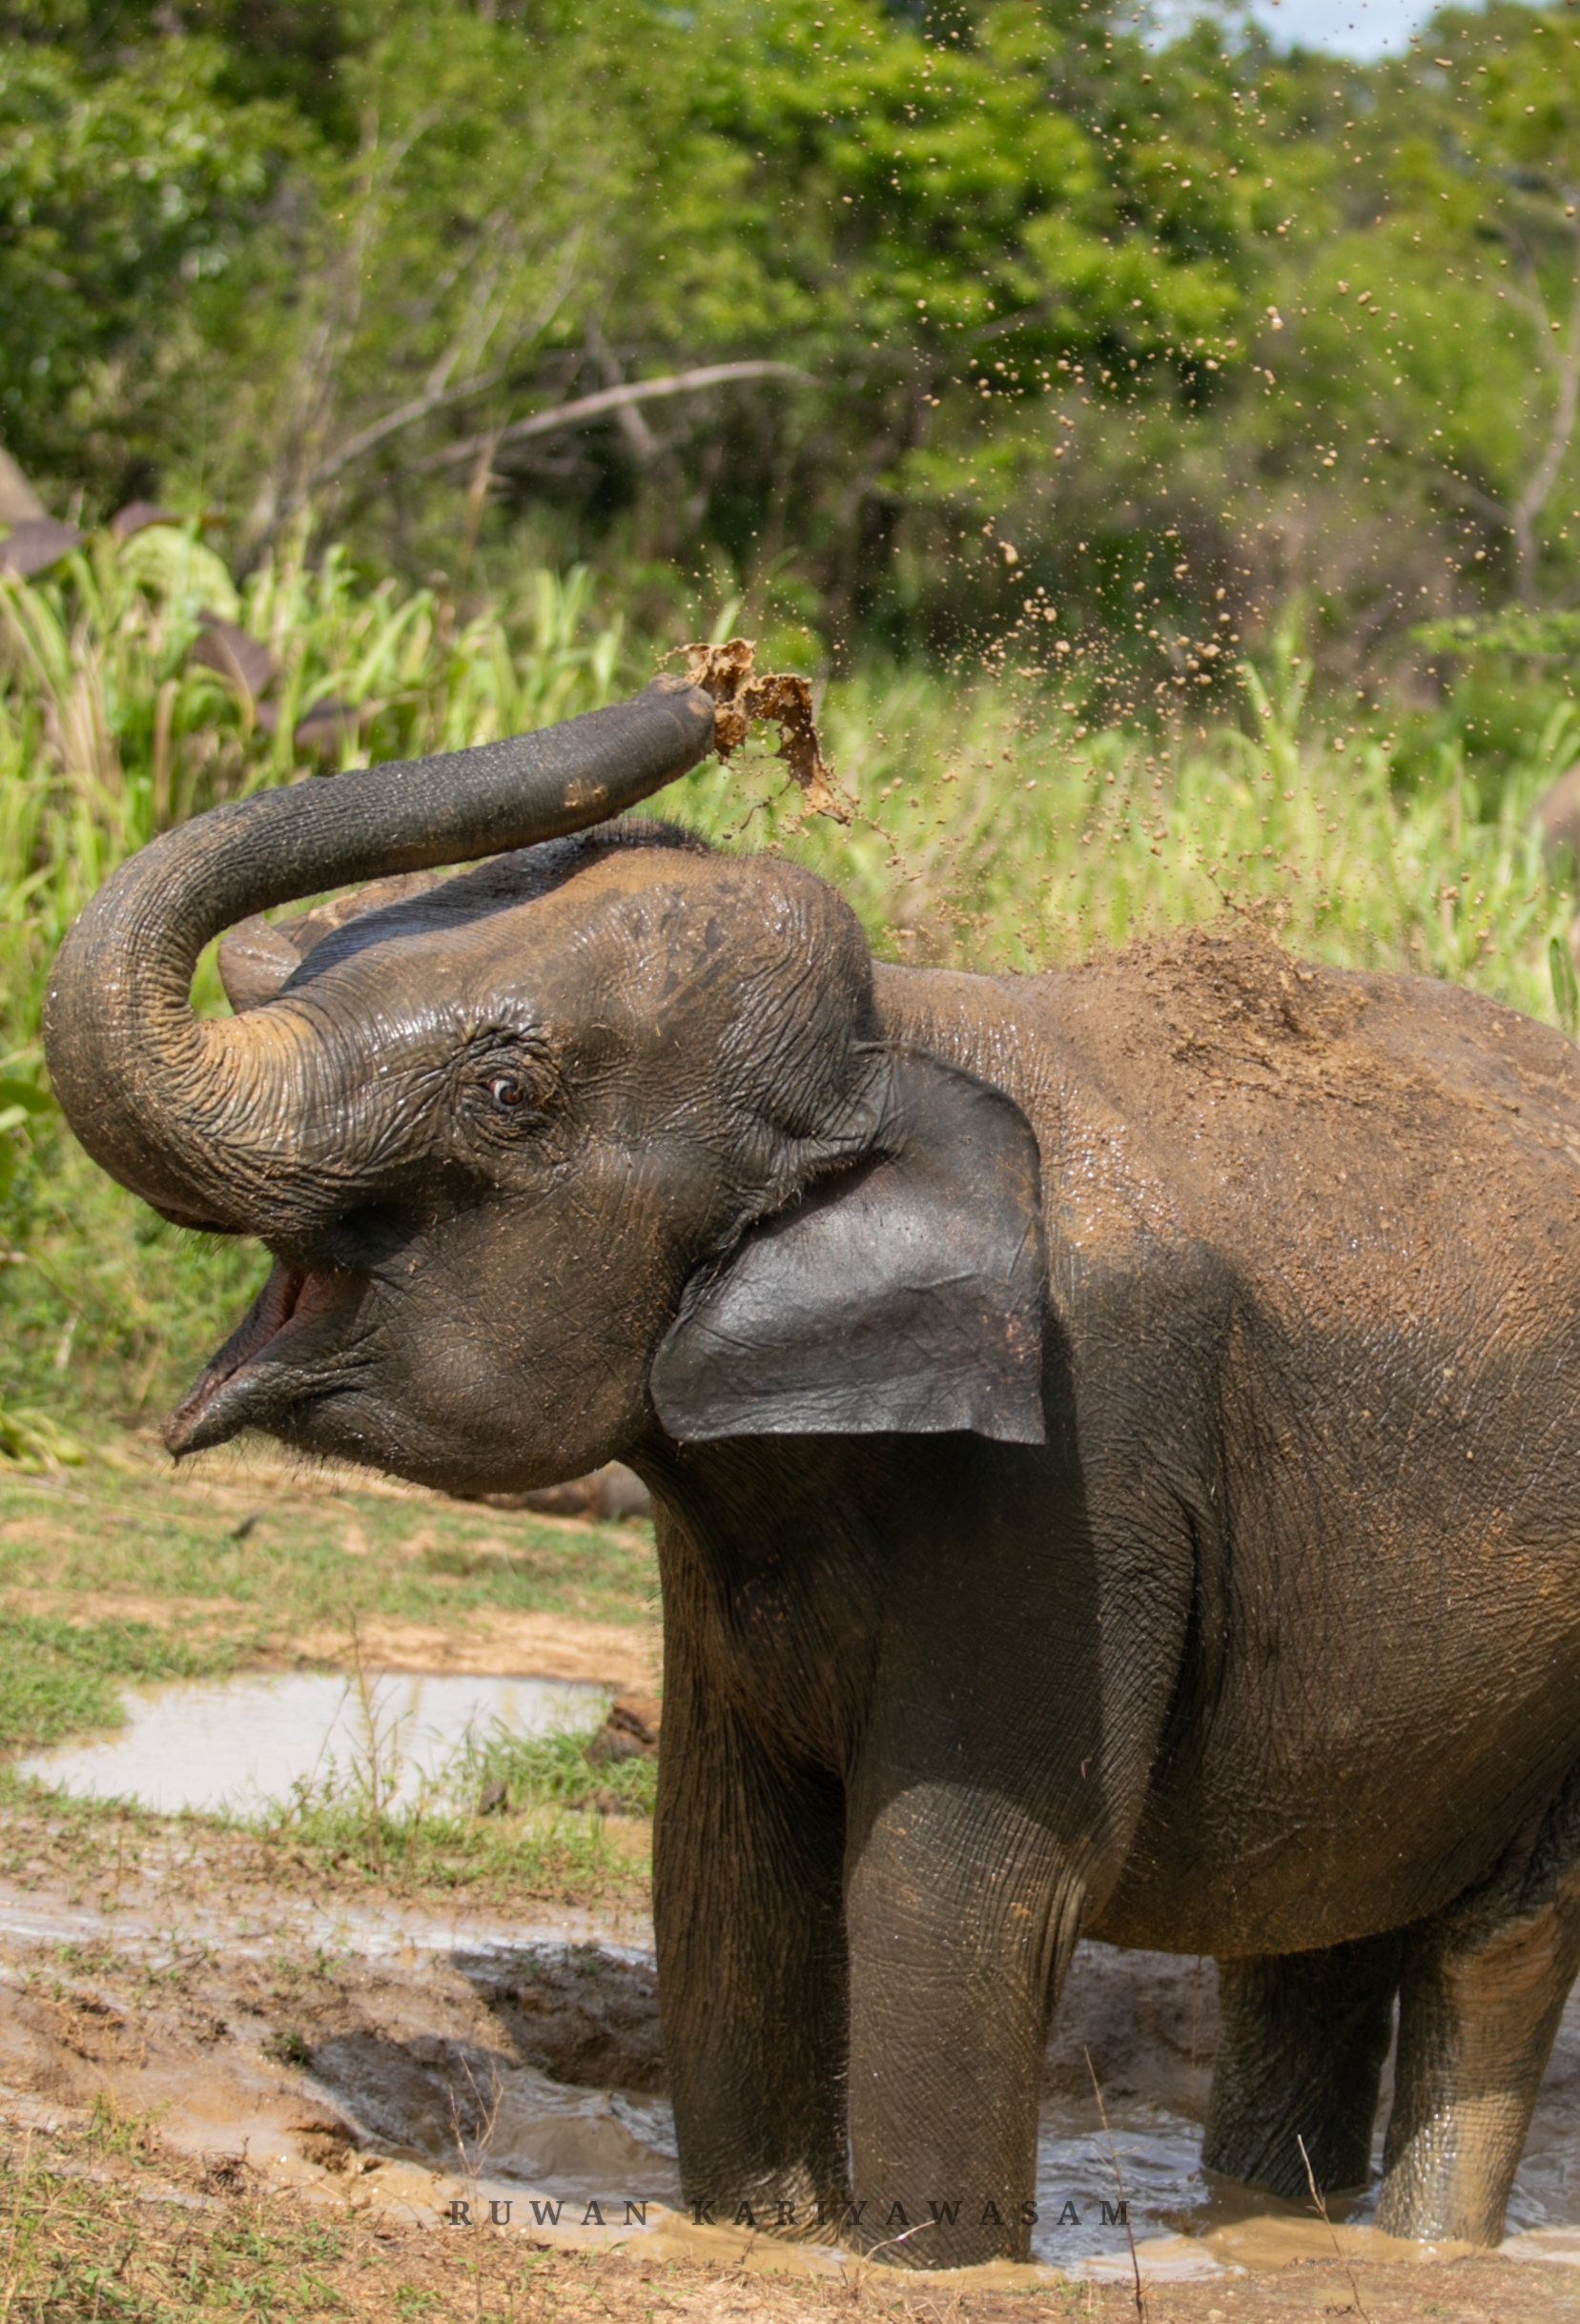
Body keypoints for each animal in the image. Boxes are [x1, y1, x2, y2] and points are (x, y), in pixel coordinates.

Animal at [43, 671, 1580, 2267]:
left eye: (507, 1090)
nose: (724, 687)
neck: (897, 1037)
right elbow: (722, 1869)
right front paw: (764, 2234)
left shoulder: (1081, 1463)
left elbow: (954, 1890)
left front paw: (938, 2266)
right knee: (1310, 1934)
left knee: (1500, 1935)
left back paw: (1425, 2246)